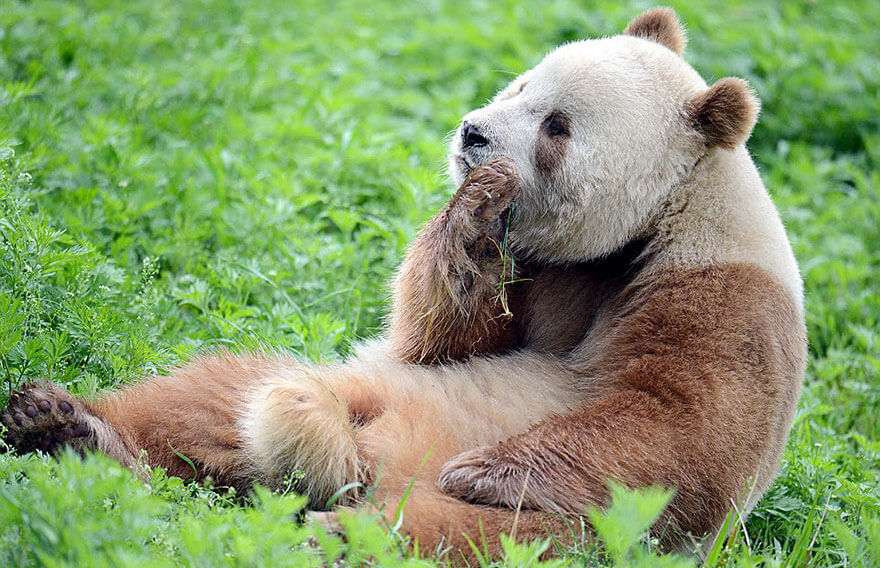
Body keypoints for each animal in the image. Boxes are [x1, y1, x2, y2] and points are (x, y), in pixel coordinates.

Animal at [3, 8, 808, 564]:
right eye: (522, 82)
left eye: (556, 125)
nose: (474, 134)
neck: (645, 228)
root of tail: (359, 468)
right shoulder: (541, 272)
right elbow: (442, 340)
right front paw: (473, 209)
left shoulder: (724, 298)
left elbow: (676, 426)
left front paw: (485, 469)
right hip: (356, 386)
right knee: (211, 397)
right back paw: (67, 428)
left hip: (580, 530)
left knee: (476, 537)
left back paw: (333, 533)